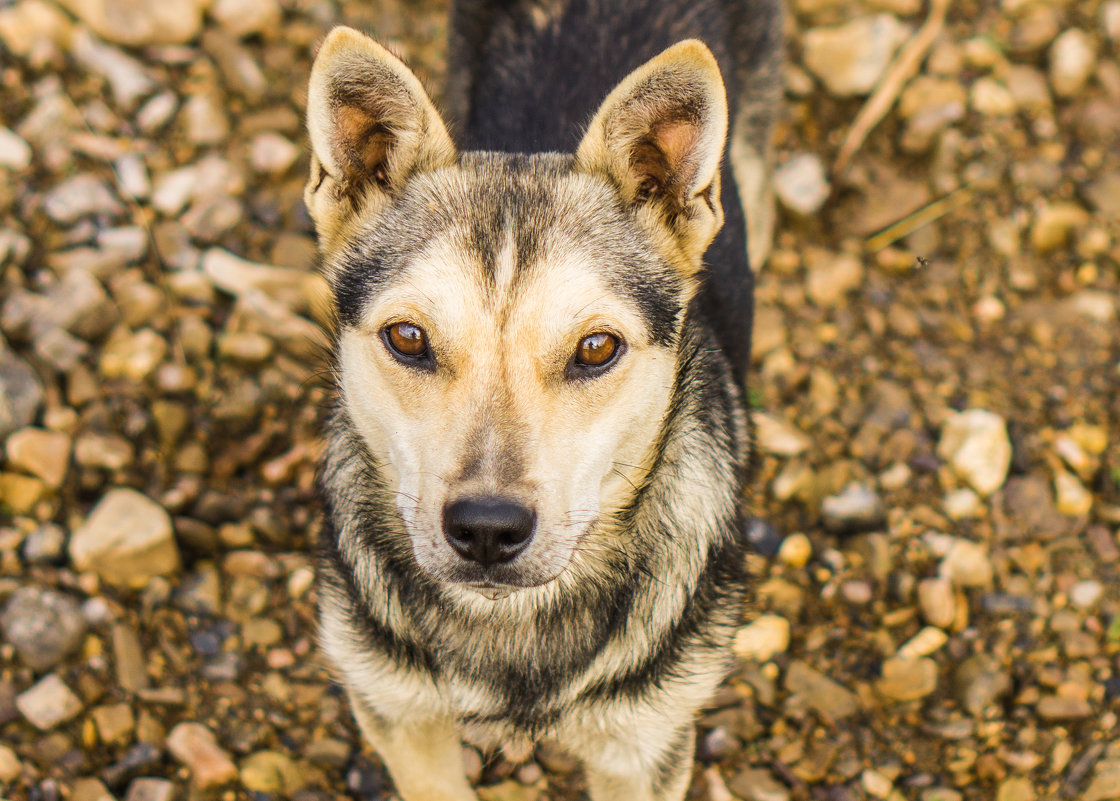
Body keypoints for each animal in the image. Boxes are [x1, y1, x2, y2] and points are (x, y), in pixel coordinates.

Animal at [302, 3, 784, 797]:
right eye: (408, 337)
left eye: (596, 348)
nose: (487, 530)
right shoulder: (396, 708)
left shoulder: (643, 744)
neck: (511, 621)